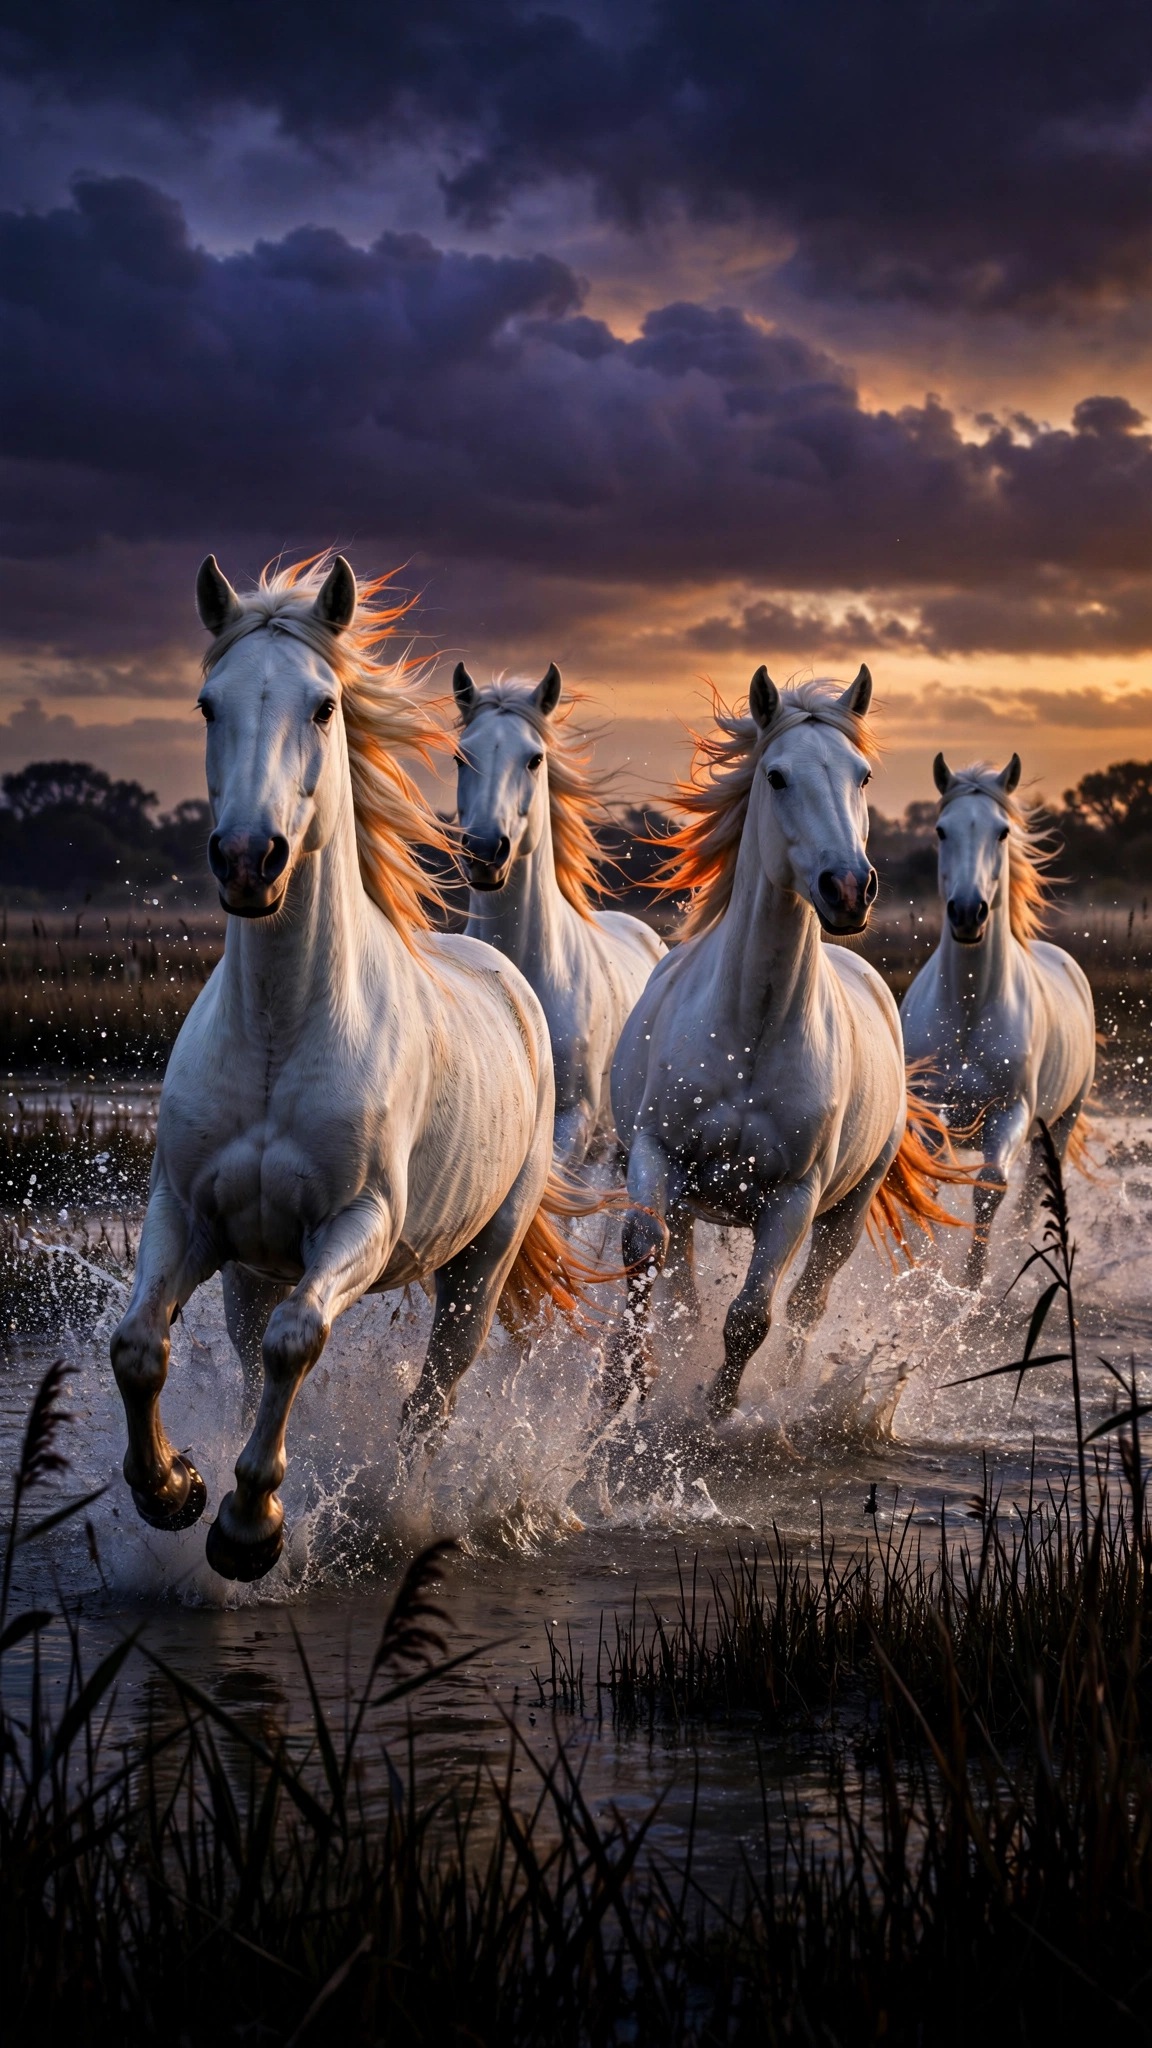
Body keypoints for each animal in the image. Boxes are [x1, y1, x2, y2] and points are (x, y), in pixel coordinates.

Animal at [110, 554, 578, 1583]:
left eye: (324, 706)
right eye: (208, 703)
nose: (249, 860)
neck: (281, 1034)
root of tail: (508, 981)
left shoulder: (357, 1225)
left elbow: (300, 1342)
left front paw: (250, 1527)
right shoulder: (187, 1212)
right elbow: (139, 1347)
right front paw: (173, 1489)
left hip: (477, 1269)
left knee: (430, 1401)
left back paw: (393, 1511)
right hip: (250, 1268)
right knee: (250, 1355)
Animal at [609, 666, 958, 1421]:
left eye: (861, 775)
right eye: (775, 775)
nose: (849, 888)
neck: (751, 1034)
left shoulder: (793, 1198)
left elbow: (750, 1318)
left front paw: (714, 1415)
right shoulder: (656, 1153)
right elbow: (643, 1253)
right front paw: (622, 1385)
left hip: (844, 1213)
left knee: (805, 1305)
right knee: (682, 1280)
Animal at [901, 753, 1095, 1286]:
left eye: (1002, 831)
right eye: (942, 830)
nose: (969, 913)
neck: (969, 1012)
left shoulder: (1011, 1115)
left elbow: (990, 1187)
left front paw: (972, 1282)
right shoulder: (931, 1115)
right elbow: (931, 1185)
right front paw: (928, 1273)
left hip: (1060, 1125)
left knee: (1031, 1195)